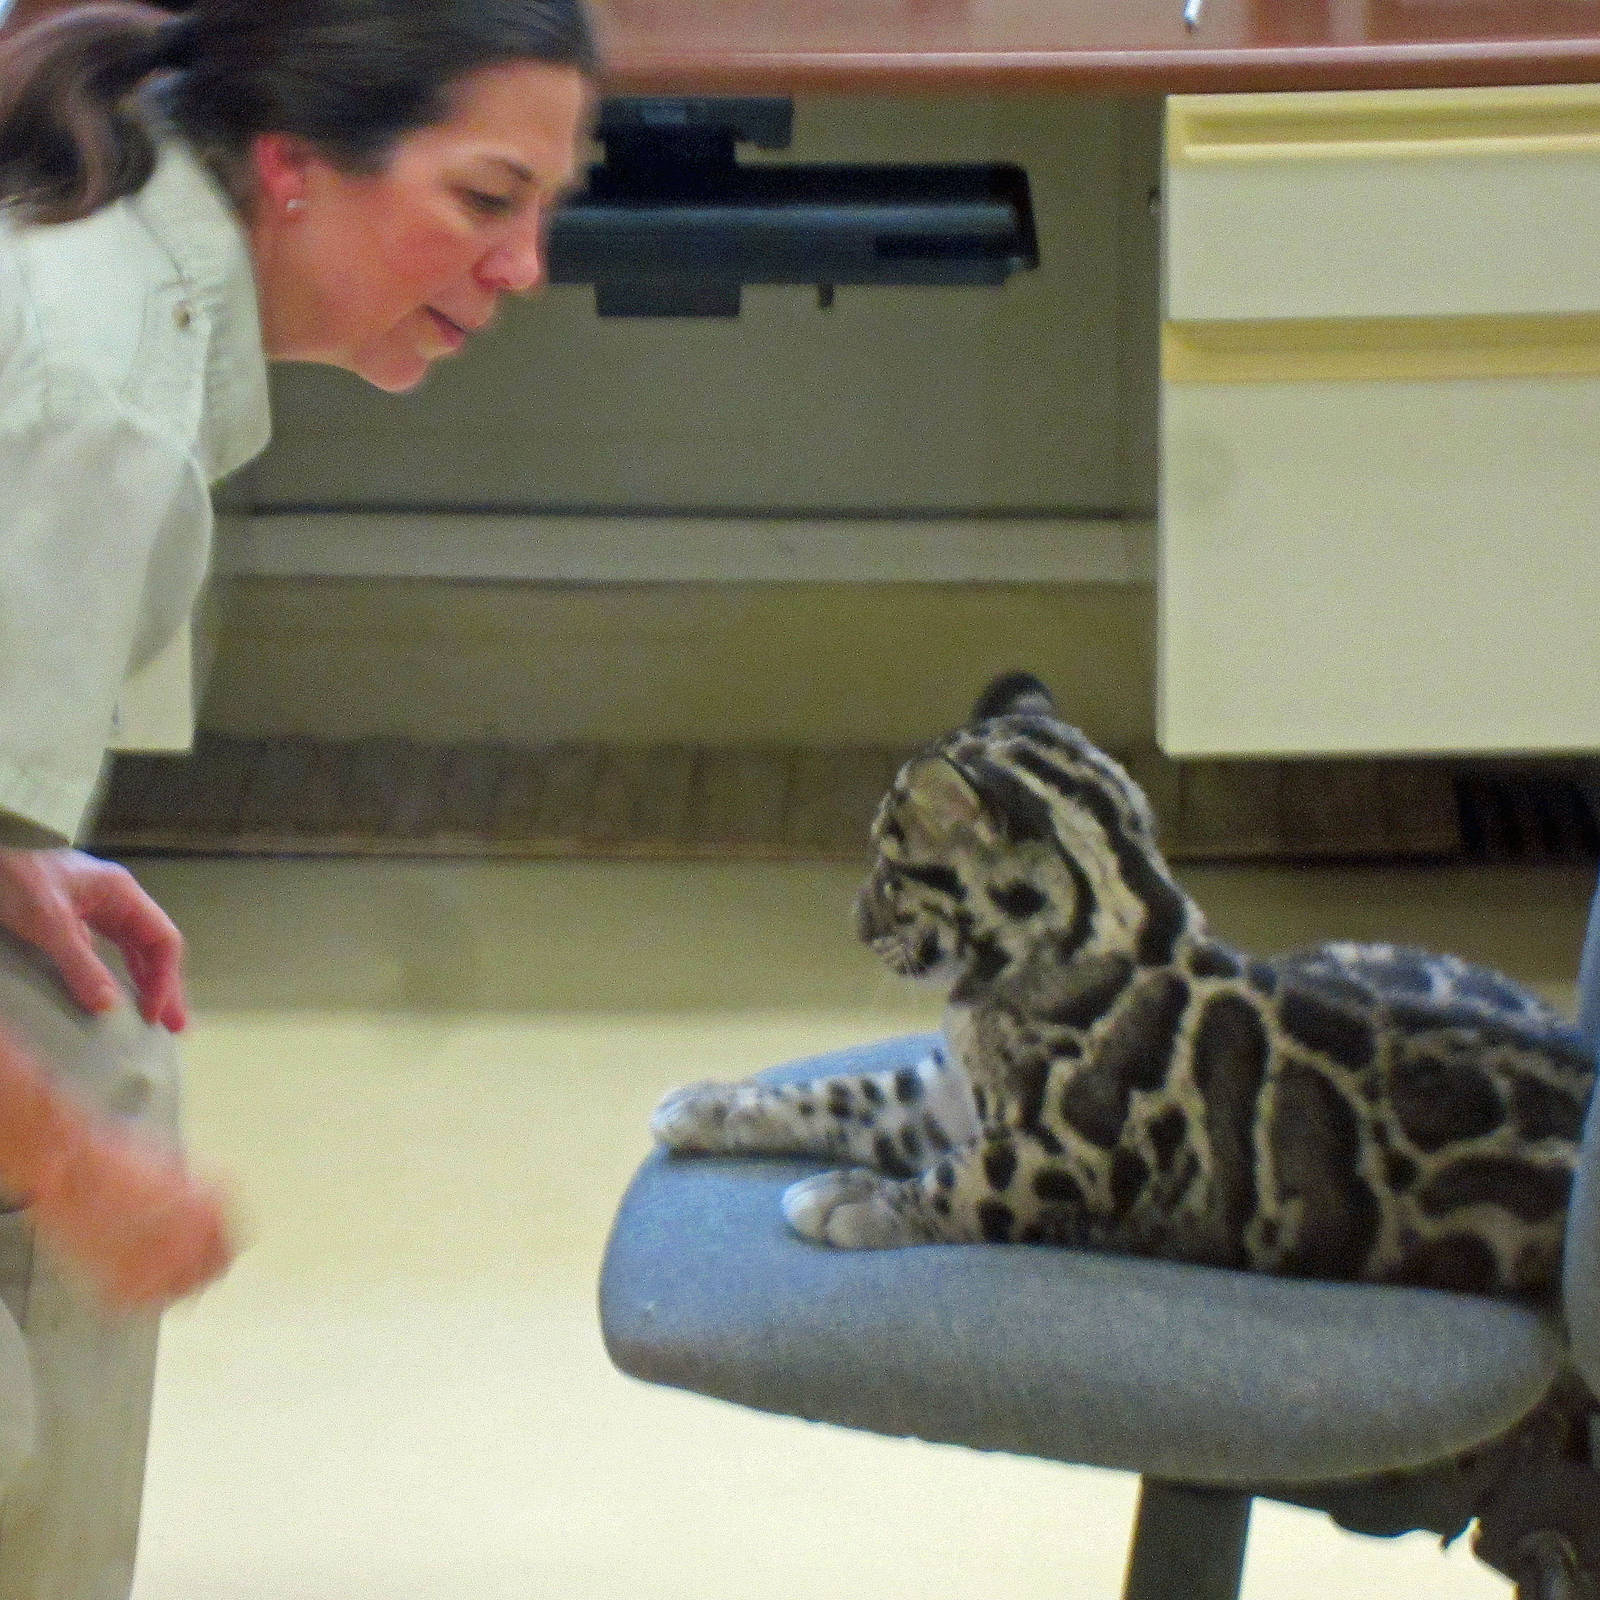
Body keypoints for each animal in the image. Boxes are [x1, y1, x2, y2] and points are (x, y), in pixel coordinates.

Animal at [652, 672, 1597, 1297]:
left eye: (888, 872)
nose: (855, 924)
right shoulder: (942, 1099)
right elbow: (839, 1093)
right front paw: (716, 1103)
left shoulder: (1073, 1154)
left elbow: (968, 1182)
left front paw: (858, 1199)